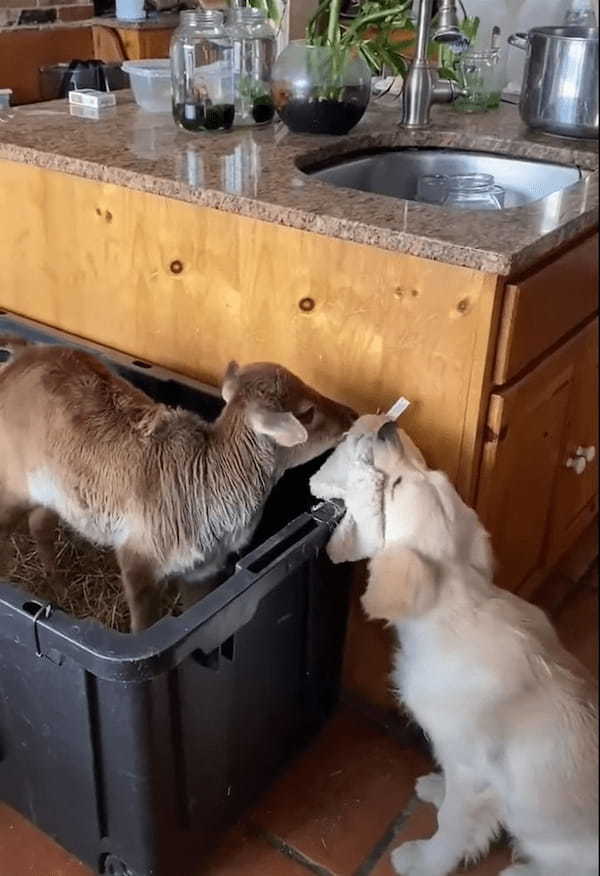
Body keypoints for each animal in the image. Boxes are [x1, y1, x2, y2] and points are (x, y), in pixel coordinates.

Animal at [312, 418, 596, 876]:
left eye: (395, 486)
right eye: (434, 475)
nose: (388, 426)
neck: (454, 607)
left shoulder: (473, 770)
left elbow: (453, 823)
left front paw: (424, 860)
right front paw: (436, 788)